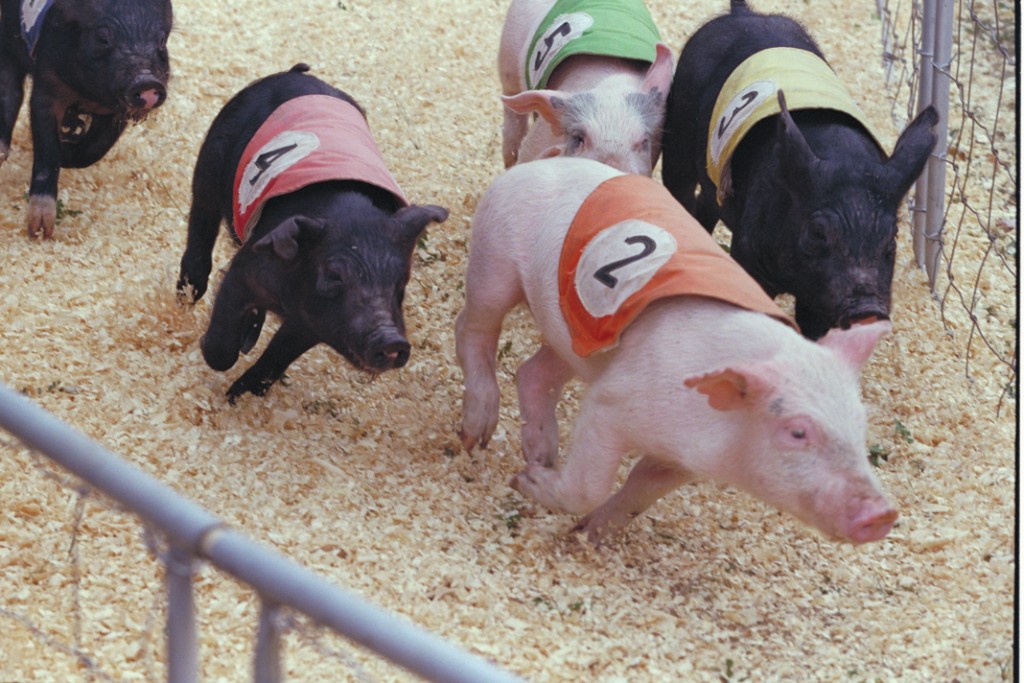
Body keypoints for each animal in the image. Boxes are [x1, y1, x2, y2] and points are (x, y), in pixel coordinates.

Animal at [0, 0, 173, 238]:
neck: (87, 93)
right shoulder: (47, 84)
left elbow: (95, 149)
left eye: (161, 40)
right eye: (102, 38)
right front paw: (41, 232)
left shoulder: (114, 111)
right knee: (10, 93)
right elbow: (46, 149)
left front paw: (66, 152)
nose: (147, 82)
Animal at [176, 64, 448, 402]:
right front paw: (211, 351)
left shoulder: (313, 324)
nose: (391, 340)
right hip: (209, 163)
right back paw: (187, 295)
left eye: (402, 282)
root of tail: (295, 73)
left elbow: (277, 357)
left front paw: (240, 397)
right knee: (200, 227)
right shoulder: (245, 270)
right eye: (333, 275)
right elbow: (221, 347)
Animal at [456, 156, 897, 546]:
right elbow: (591, 483)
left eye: (860, 425)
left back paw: (541, 454)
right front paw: (523, 483)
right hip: (494, 259)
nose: (882, 513)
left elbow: (640, 493)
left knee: (534, 373)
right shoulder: (611, 403)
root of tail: (535, 165)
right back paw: (477, 435)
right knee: (474, 327)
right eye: (797, 431)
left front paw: (588, 536)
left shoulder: (682, 461)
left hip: (578, 340)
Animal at [660, 0, 939, 339]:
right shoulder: (748, 251)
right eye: (818, 232)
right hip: (678, 126)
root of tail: (744, 13)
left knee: (707, 202)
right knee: (680, 188)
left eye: (892, 238)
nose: (868, 309)